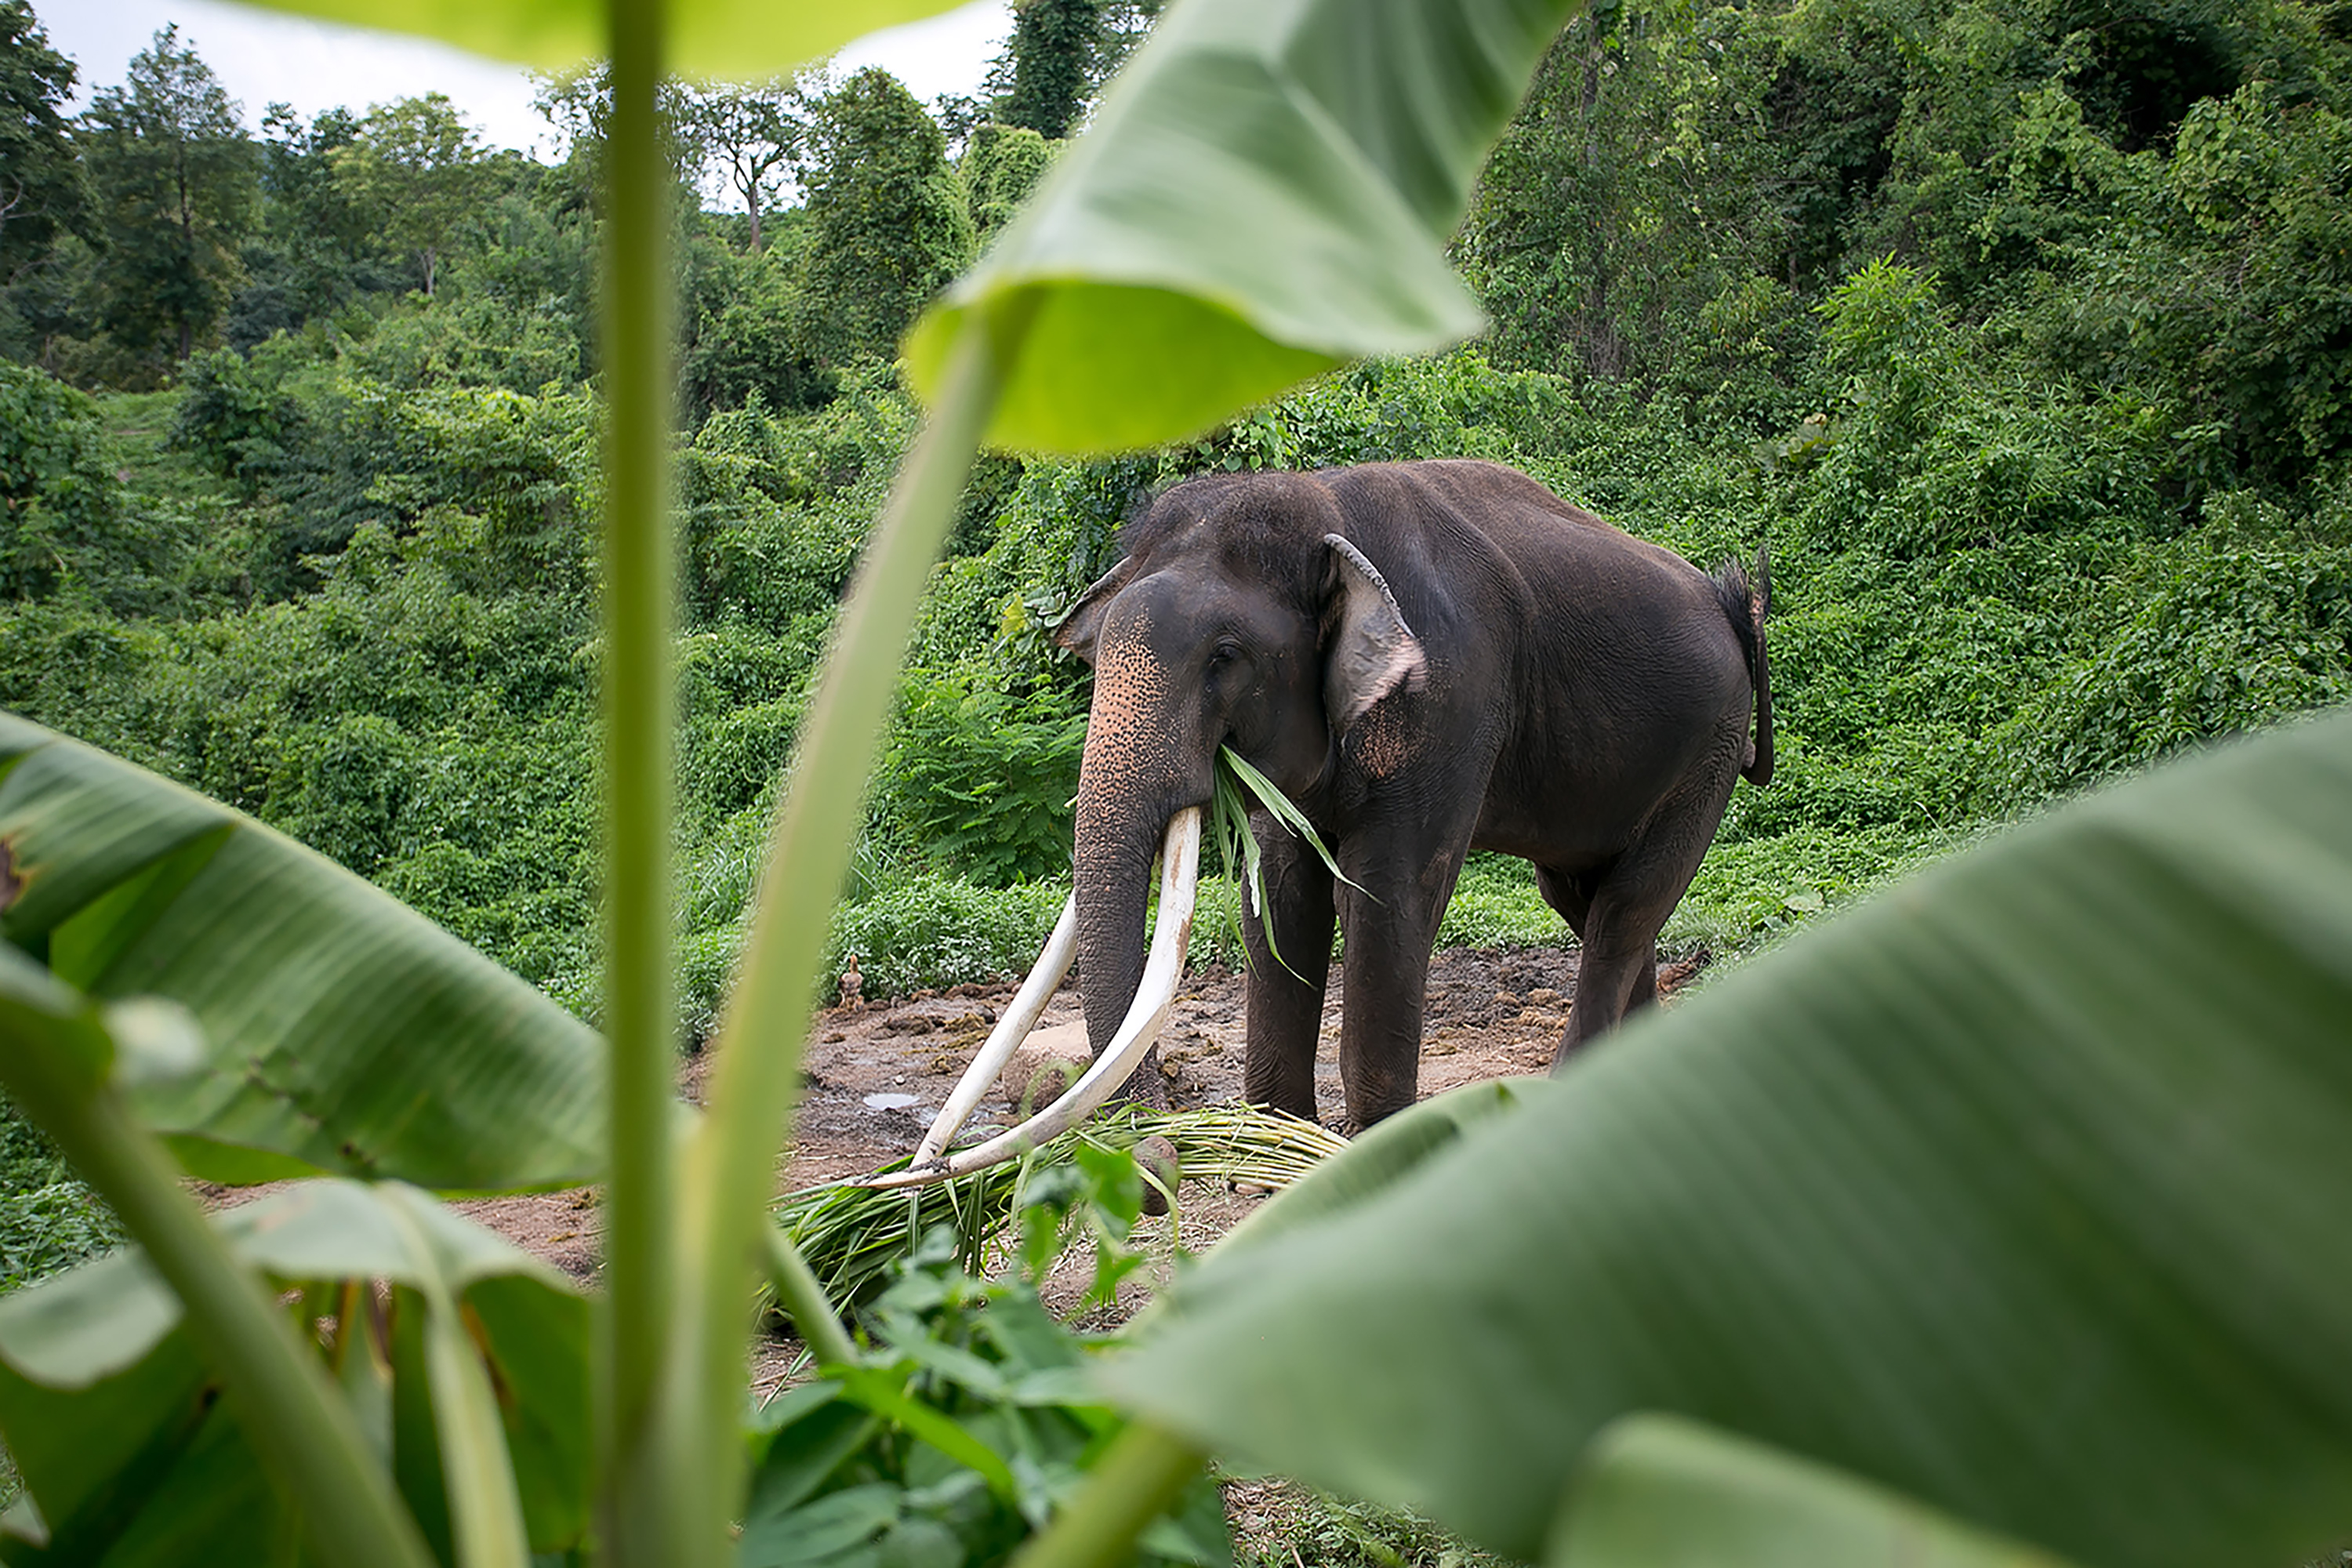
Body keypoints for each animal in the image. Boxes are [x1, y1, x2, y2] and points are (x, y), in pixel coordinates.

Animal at [1054, 458, 1772, 1131]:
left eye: (1225, 655)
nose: (1155, 1134)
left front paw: (1369, 1138)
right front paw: (1279, 1129)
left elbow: (1387, 894)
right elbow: (1284, 893)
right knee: (1584, 899)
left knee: (1624, 910)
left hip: (1707, 755)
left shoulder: (1450, 701)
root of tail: (1732, 608)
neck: (1327, 504)